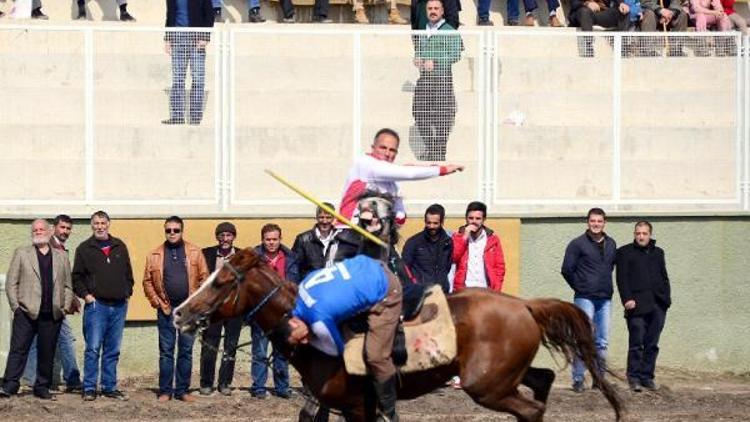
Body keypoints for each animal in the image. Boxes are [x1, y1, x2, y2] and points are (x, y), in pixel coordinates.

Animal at [173, 249, 624, 420]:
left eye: (219, 282)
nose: (179, 313)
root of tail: (524, 304)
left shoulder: (358, 407)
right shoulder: (331, 404)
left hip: (487, 386)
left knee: (530, 409)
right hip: (502, 375)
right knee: (541, 381)